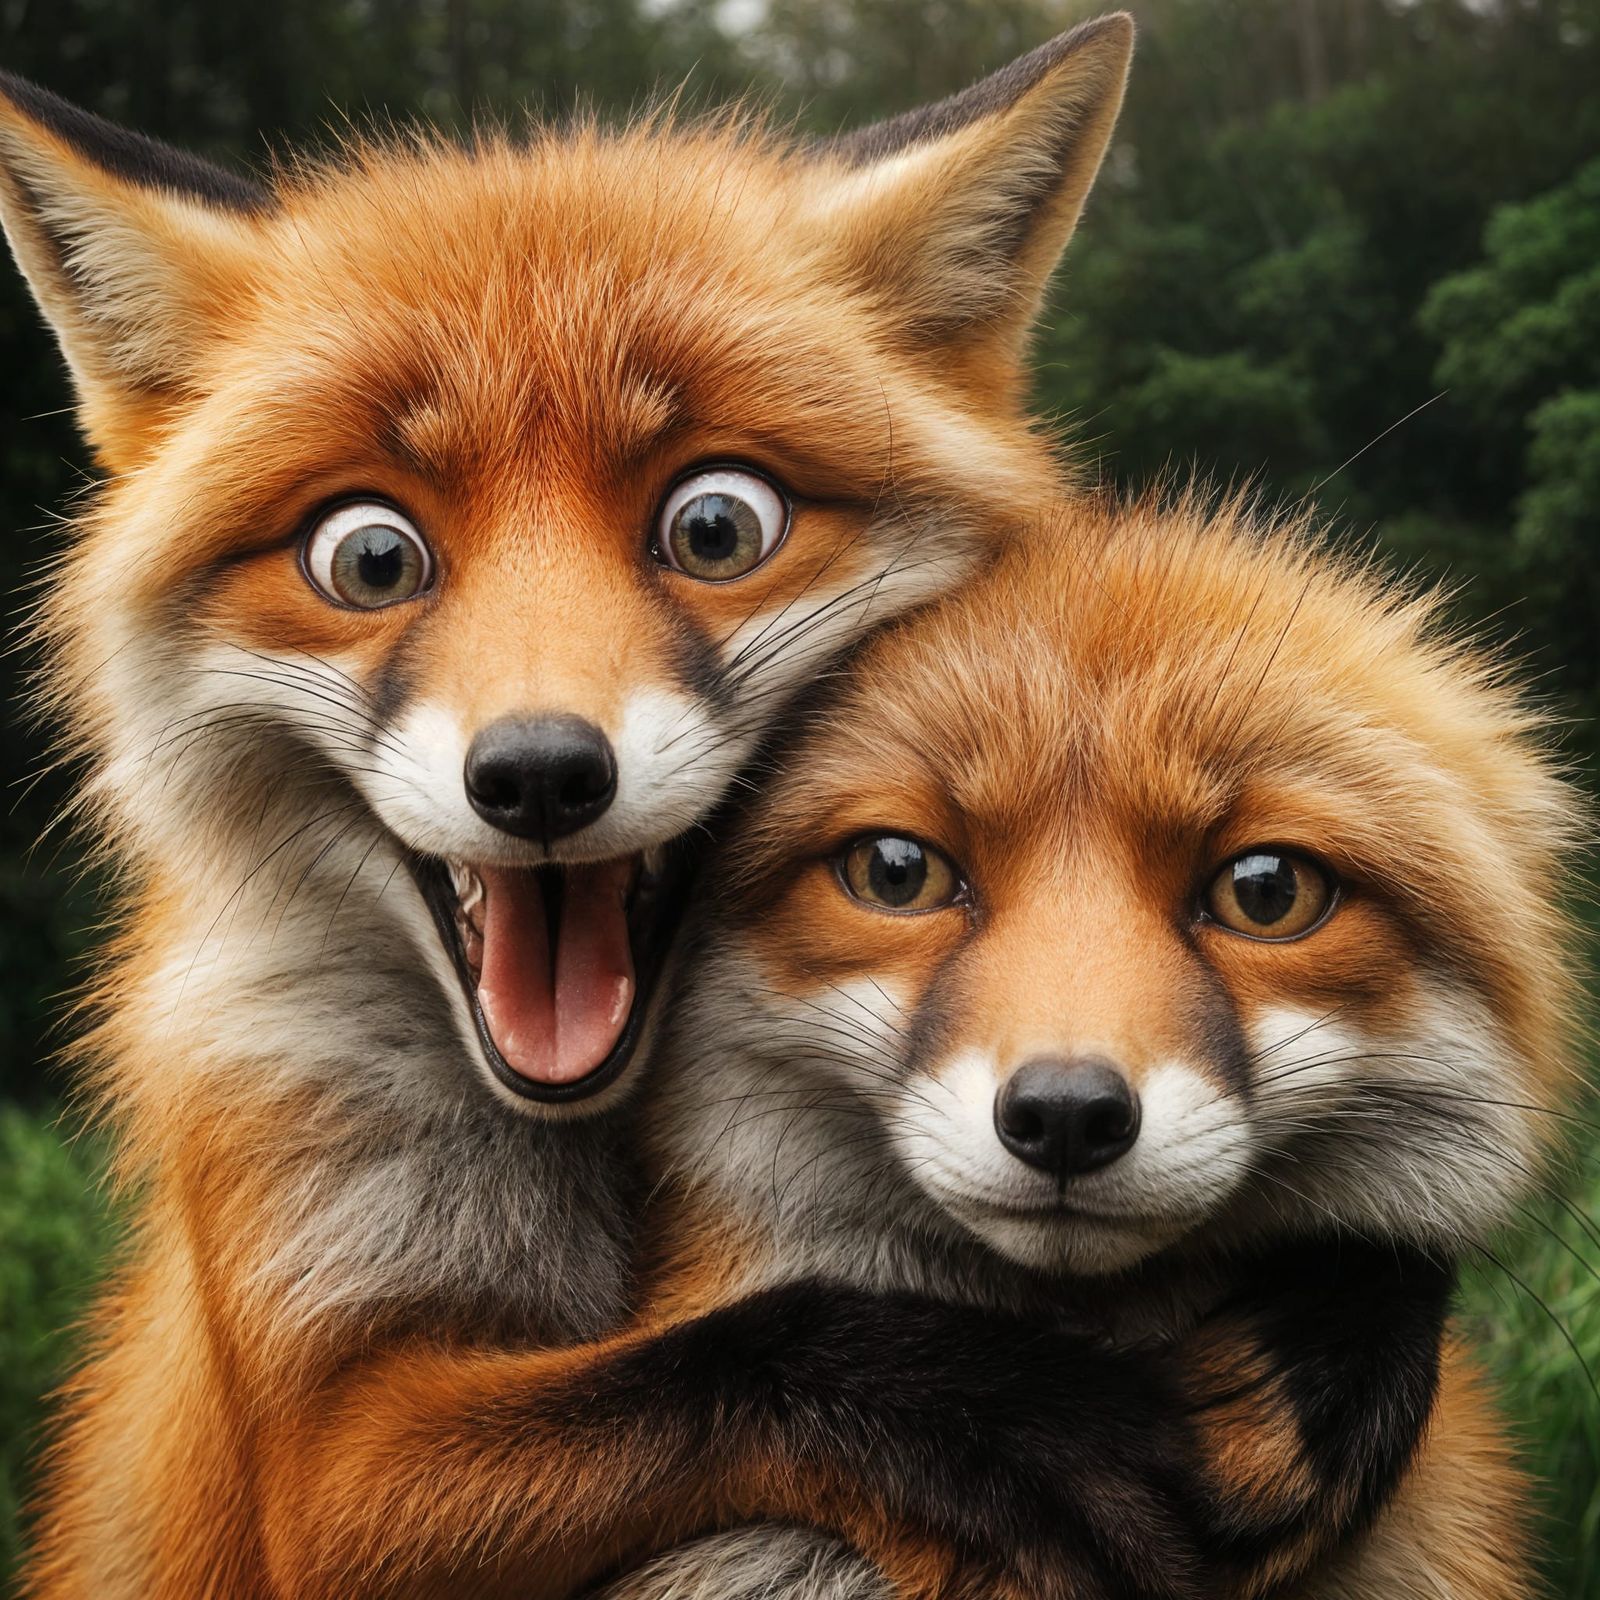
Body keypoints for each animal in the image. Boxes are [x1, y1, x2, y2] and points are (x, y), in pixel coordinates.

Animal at [0, 21, 1154, 1597]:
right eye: (370, 557)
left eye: (716, 525)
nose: (541, 774)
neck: (601, 1156)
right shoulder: (325, 1465)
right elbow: (745, 1352)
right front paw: (1008, 1412)